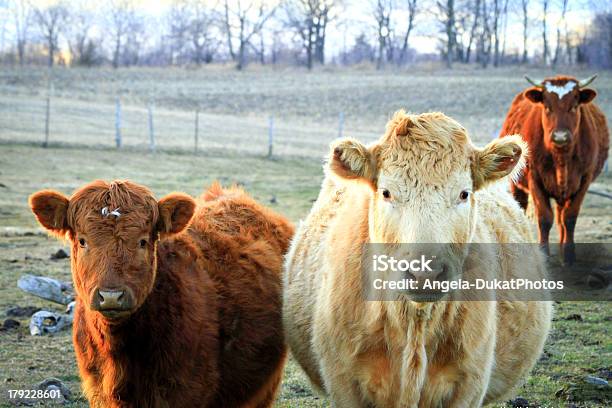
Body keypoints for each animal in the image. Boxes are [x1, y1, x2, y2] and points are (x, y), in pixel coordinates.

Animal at [284, 111, 552, 408]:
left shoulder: (469, 384)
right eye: (387, 192)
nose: (426, 273)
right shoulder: (343, 381)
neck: (414, 324)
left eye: (464, 193)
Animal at [500, 75, 608, 262]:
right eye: (547, 107)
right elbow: (545, 218)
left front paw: (569, 255)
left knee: (561, 216)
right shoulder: (535, 178)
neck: (561, 158)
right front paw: (544, 254)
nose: (560, 136)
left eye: (574, 106)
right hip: (517, 183)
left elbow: (569, 217)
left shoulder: (584, 180)